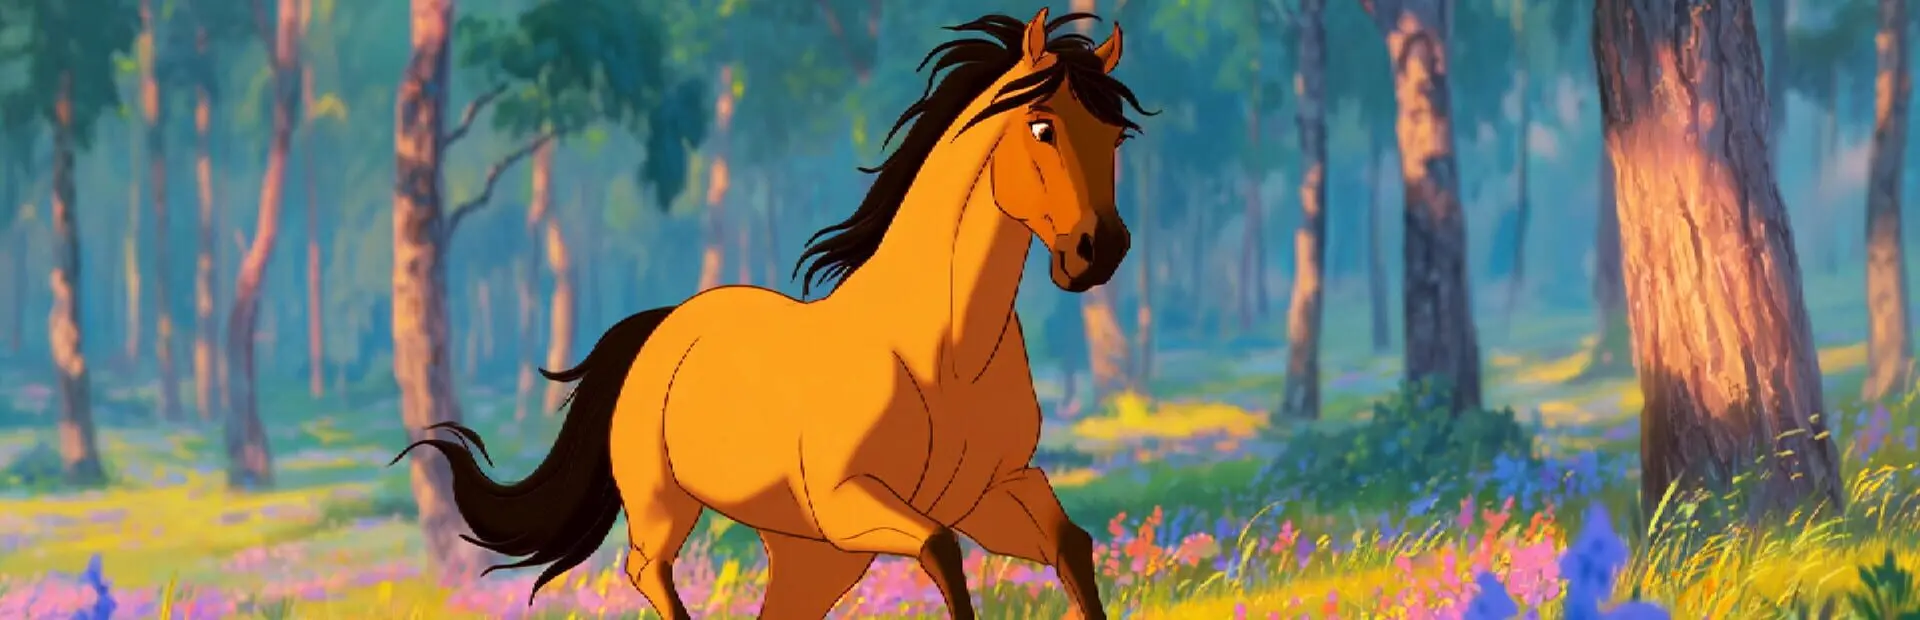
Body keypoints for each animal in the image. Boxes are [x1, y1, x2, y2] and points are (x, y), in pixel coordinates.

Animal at [393, 9, 1150, 620]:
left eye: (1115, 136)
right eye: (1042, 127)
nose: (1099, 252)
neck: (943, 352)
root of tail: (664, 326)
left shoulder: (992, 494)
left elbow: (1072, 546)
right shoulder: (853, 504)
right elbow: (944, 556)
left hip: (816, 557)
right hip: (671, 509)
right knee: (645, 569)